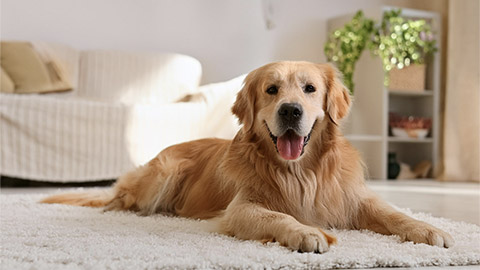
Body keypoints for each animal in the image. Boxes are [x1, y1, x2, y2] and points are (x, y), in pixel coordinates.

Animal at [42, 61, 454, 253]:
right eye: (271, 90)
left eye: (309, 89)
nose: (290, 110)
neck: (299, 172)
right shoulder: (241, 208)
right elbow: (279, 216)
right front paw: (306, 232)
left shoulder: (353, 199)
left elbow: (393, 213)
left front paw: (428, 228)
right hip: (165, 172)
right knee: (121, 197)